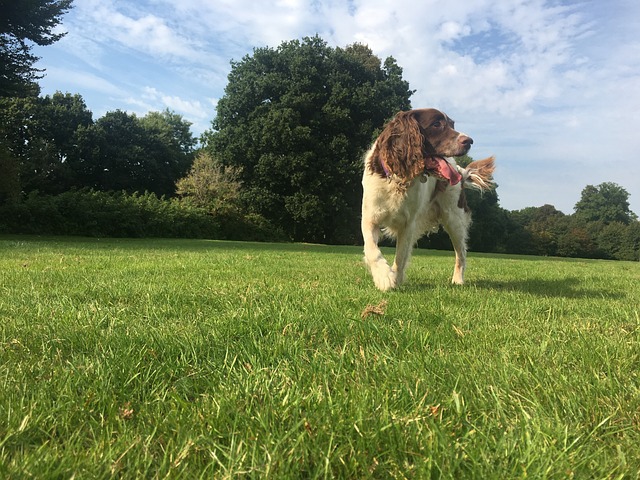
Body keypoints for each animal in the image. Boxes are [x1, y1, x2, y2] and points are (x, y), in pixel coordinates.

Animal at [360, 108, 496, 292]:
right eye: (436, 124)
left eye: (452, 124)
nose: (469, 141)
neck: (399, 179)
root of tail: (459, 170)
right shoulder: (370, 218)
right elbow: (372, 250)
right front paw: (384, 276)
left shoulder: (408, 224)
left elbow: (401, 256)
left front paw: (393, 278)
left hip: (454, 219)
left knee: (461, 253)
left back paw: (458, 280)